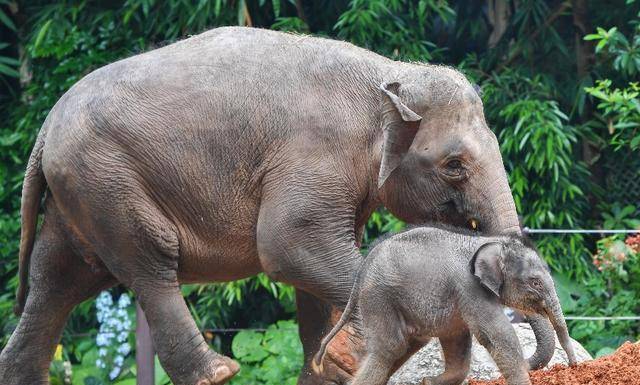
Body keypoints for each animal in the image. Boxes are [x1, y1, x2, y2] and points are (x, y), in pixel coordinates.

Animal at [0, 27, 528, 384]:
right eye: (454, 165)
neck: (390, 74)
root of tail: (44, 128)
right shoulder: (315, 153)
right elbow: (290, 245)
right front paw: (356, 357)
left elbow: (313, 274)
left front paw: (329, 367)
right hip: (106, 180)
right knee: (149, 263)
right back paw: (217, 372)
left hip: (79, 191)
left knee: (58, 280)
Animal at [312, 226, 576, 384]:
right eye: (535, 282)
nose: (574, 365)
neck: (486, 240)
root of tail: (362, 270)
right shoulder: (469, 286)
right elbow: (496, 336)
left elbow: (457, 337)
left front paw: (429, 382)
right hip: (378, 297)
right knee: (389, 348)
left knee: (407, 345)